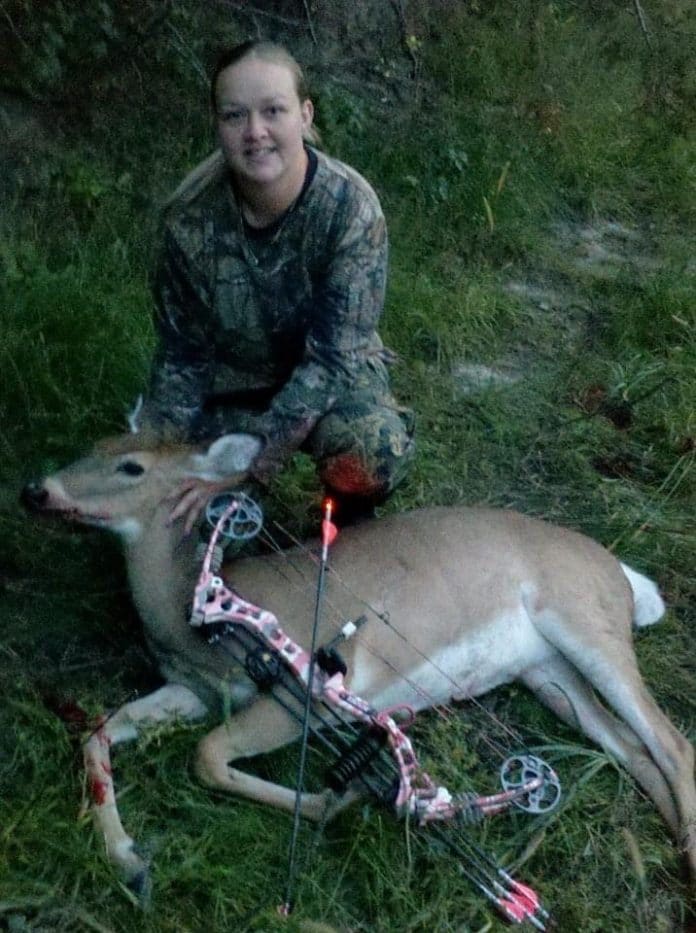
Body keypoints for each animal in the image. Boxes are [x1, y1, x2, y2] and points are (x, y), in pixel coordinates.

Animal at [21, 430, 696, 896]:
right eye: (97, 444)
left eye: (131, 466)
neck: (199, 618)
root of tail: (624, 576)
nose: (36, 489)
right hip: (548, 673)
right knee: (633, 749)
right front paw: (127, 859)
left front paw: (333, 803)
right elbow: (98, 729)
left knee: (672, 741)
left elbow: (207, 755)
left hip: (584, 620)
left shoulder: (304, 693)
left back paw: (688, 857)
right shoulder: (193, 691)